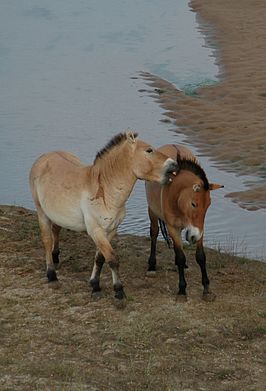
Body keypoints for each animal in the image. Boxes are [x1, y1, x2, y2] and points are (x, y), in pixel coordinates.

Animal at [29, 133, 178, 302]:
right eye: (149, 150)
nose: (174, 164)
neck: (105, 191)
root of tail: (44, 157)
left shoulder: (110, 230)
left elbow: (100, 258)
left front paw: (95, 285)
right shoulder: (96, 231)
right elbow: (112, 259)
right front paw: (119, 291)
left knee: (56, 230)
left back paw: (56, 259)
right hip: (41, 212)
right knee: (47, 240)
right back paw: (52, 275)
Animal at [144, 145, 223, 298]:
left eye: (208, 204)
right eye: (194, 204)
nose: (193, 236)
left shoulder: (199, 228)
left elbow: (200, 256)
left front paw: (206, 288)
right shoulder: (172, 228)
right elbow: (180, 256)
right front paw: (182, 289)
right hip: (152, 211)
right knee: (154, 233)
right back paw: (151, 266)